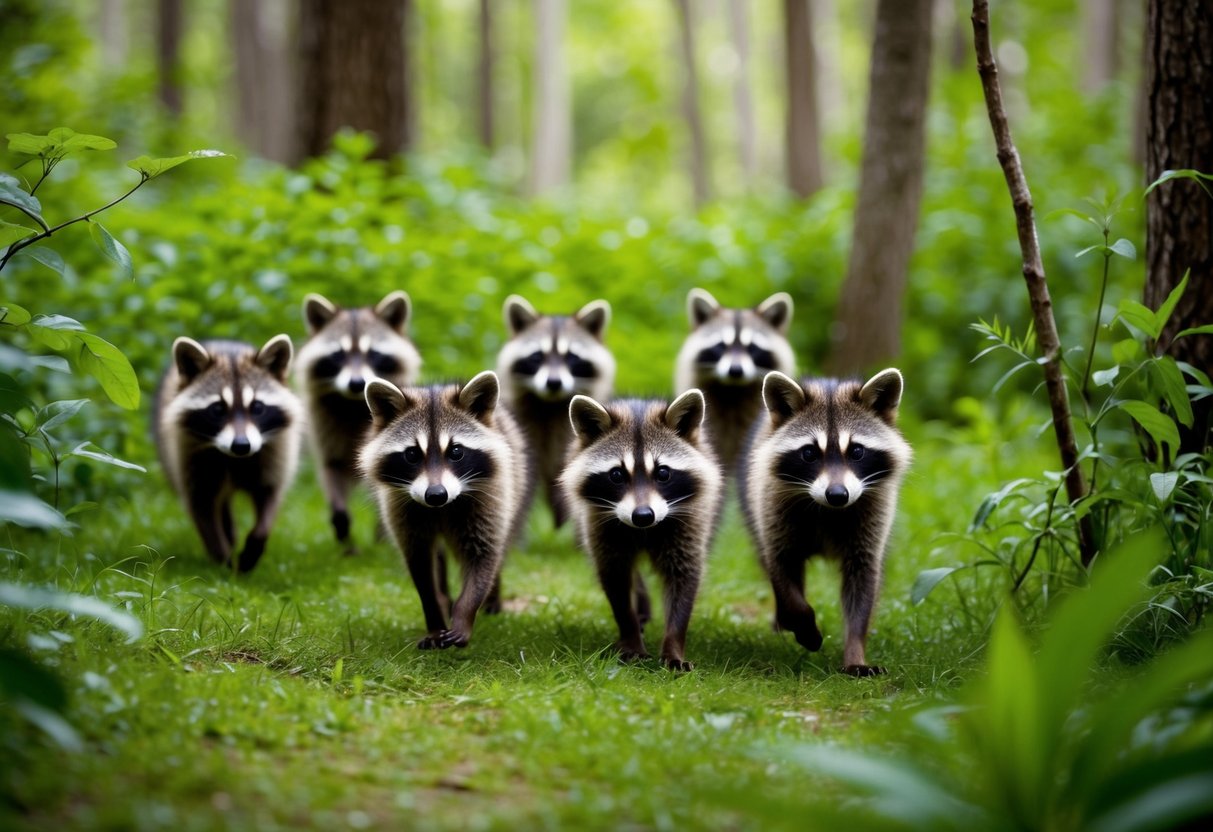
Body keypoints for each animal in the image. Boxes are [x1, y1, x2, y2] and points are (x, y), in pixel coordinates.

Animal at [154, 335, 303, 573]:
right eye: (217, 409)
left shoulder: (276, 453)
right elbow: (202, 509)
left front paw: (255, 544)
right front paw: (223, 560)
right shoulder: (188, 457)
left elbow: (269, 497)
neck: (235, 459)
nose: (241, 445)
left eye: (257, 407)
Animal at [295, 291, 422, 548]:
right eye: (338, 355)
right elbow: (332, 472)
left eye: (373, 353)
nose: (356, 383)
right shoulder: (326, 430)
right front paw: (341, 524)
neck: (353, 404)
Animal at [359, 372, 533, 649]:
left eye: (456, 451)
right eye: (411, 454)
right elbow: (421, 567)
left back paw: (492, 597)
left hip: (516, 486)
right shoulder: (402, 510)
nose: (436, 495)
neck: (441, 508)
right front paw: (435, 619)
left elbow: (483, 558)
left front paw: (464, 614)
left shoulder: (491, 498)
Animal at [559, 391, 723, 671]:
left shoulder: (689, 523)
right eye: (616, 475)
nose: (643, 516)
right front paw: (631, 636)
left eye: (663, 473)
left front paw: (673, 646)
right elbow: (616, 580)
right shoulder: (600, 525)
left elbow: (685, 578)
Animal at [740, 369, 911, 676]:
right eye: (809, 453)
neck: (827, 509)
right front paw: (802, 621)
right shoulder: (772, 508)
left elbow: (863, 584)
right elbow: (781, 568)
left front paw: (855, 652)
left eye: (857, 451)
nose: (838, 495)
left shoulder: (871, 518)